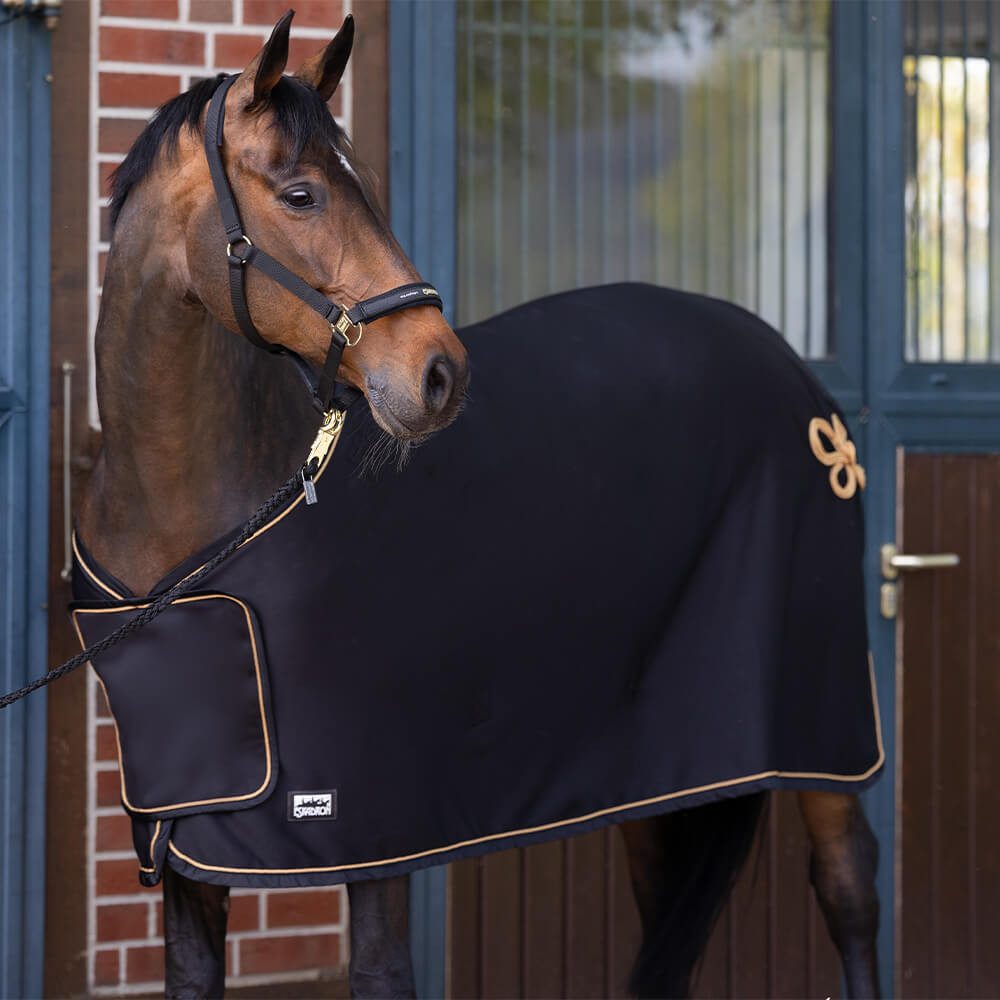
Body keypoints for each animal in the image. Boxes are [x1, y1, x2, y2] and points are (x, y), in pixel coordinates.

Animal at [75, 12, 882, 999]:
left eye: (369, 190)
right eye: (301, 195)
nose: (438, 373)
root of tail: (805, 388)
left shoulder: (369, 828)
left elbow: (381, 971)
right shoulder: (187, 837)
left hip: (825, 733)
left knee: (847, 889)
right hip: (669, 767)